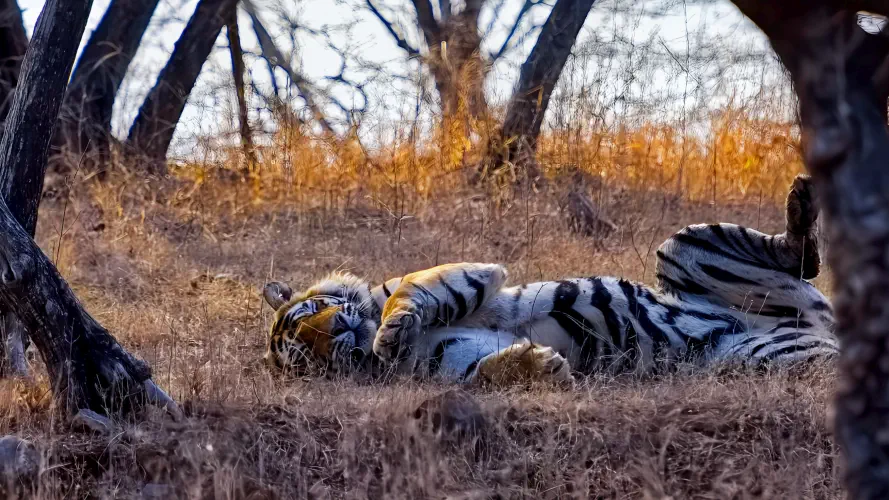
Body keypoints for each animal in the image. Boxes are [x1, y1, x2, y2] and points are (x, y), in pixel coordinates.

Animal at [260, 174, 838, 385]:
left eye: (310, 314)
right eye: (303, 355)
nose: (336, 334)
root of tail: (820, 328)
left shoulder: (466, 273)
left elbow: (409, 294)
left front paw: (392, 330)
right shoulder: (447, 362)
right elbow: (483, 372)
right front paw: (538, 363)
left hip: (682, 246)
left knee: (800, 254)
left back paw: (802, 200)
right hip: (771, 360)